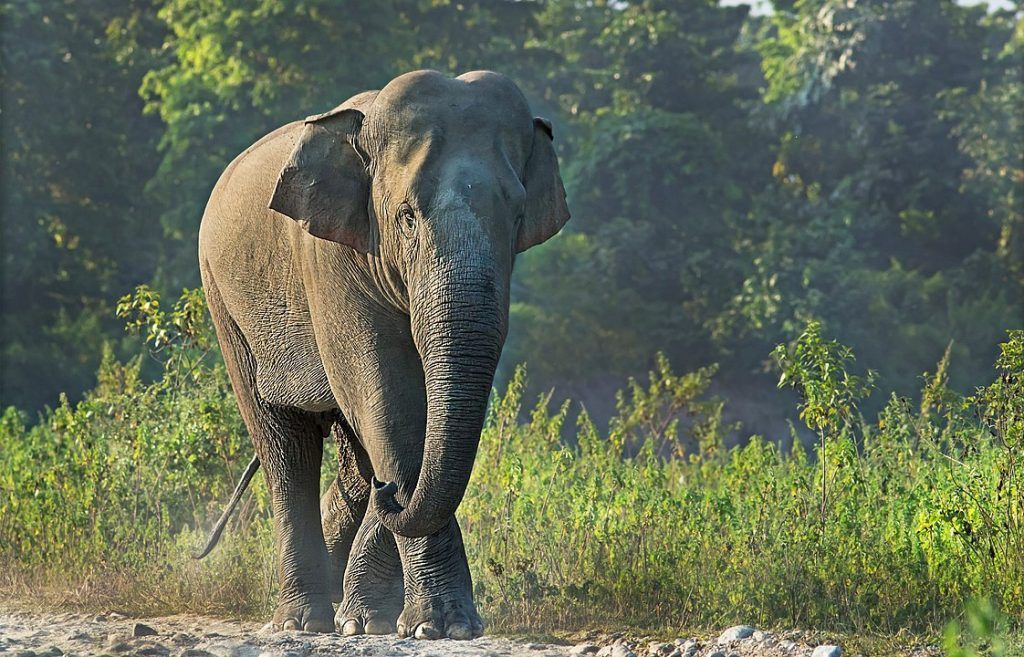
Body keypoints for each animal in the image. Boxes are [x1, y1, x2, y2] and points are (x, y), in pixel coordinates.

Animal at [195, 69, 573, 638]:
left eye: (516, 216)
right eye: (406, 218)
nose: (392, 488)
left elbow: (399, 414)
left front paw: (382, 620)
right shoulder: (331, 258)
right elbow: (386, 400)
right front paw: (437, 626)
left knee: (350, 459)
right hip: (225, 307)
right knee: (285, 445)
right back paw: (304, 620)